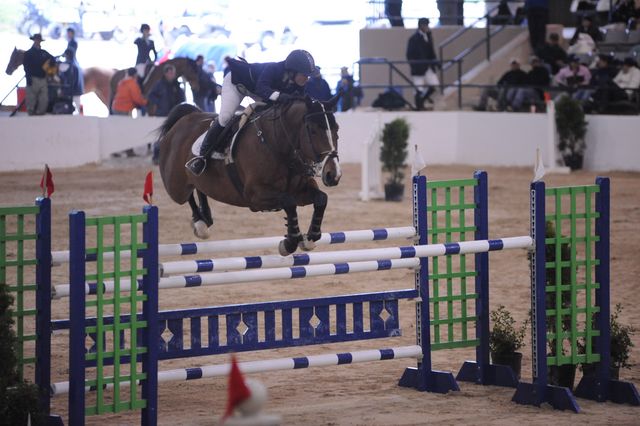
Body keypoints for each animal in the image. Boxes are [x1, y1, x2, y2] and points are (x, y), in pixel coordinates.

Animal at [156, 96, 342, 256]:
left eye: (336, 129)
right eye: (313, 130)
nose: (333, 175)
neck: (279, 145)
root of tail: (183, 120)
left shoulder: (300, 191)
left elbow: (321, 199)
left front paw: (310, 237)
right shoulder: (256, 197)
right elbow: (289, 203)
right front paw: (289, 242)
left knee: (200, 187)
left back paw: (205, 218)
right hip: (175, 186)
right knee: (186, 193)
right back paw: (200, 222)